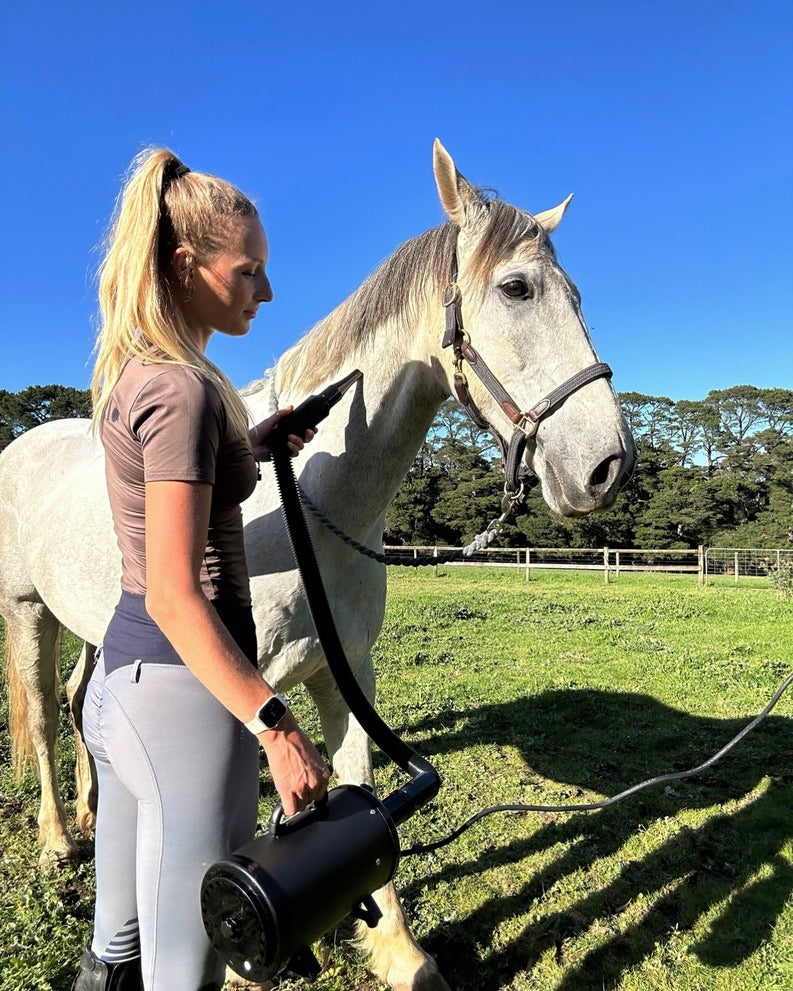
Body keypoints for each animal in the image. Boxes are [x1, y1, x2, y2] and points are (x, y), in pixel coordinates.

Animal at [0, 141, 632, 991]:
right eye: (516, 287)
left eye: (574, 294)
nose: (607, 465)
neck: (313, 498)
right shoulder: (247, 691)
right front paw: (245, 970)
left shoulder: (348, 670)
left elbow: (361, 788)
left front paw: (400, 953)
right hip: (27, 610)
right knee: (39, 713)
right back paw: (58, 839)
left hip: (95, 623)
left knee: (79, 706)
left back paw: (95, 809)